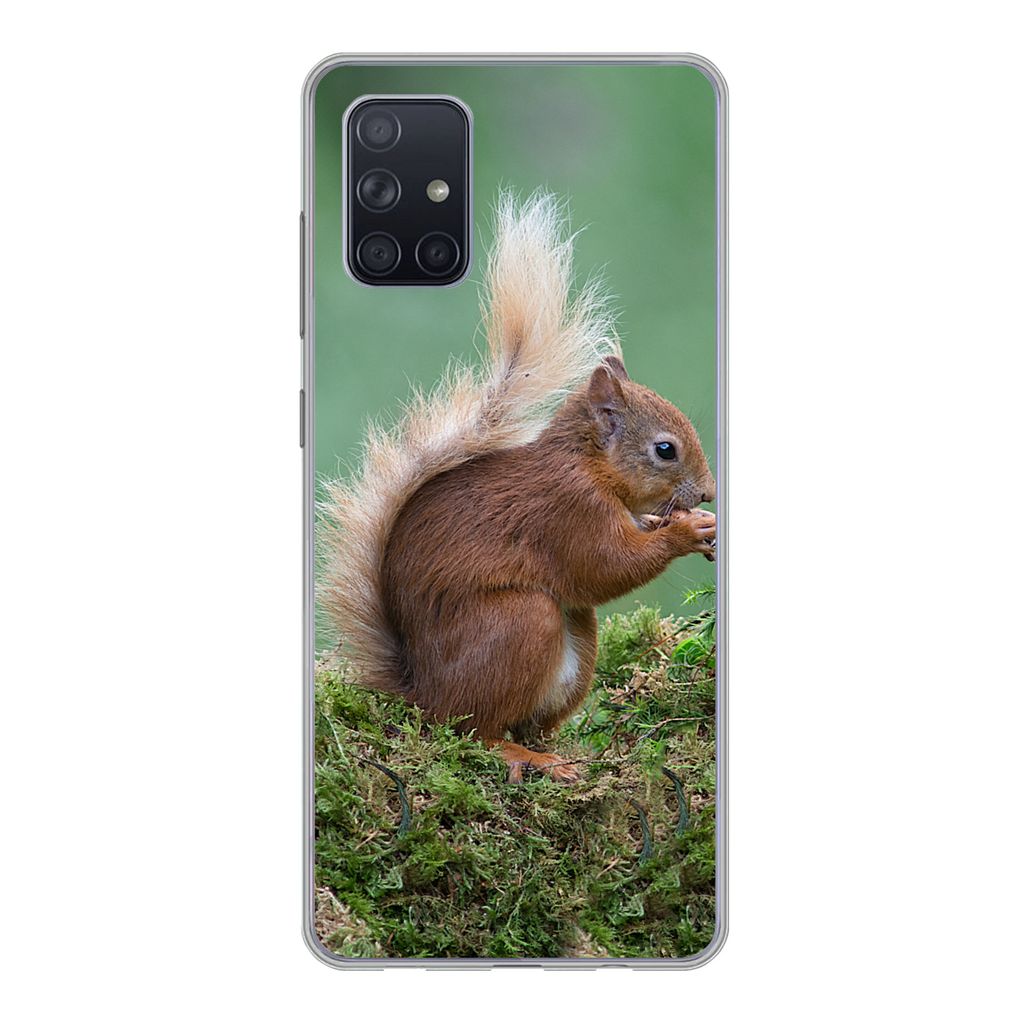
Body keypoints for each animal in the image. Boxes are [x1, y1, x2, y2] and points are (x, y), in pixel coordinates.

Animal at [320, 193, 716, 783]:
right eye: (665, 450)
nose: (709, 493)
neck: (588, 465)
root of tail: (421, 693)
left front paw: (678, 522)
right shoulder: (567, 509)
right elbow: (605, 566)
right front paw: (685, 532)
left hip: (575, 644)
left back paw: (556, 752)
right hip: (518, 624)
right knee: (473, 729)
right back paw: (522, 756)